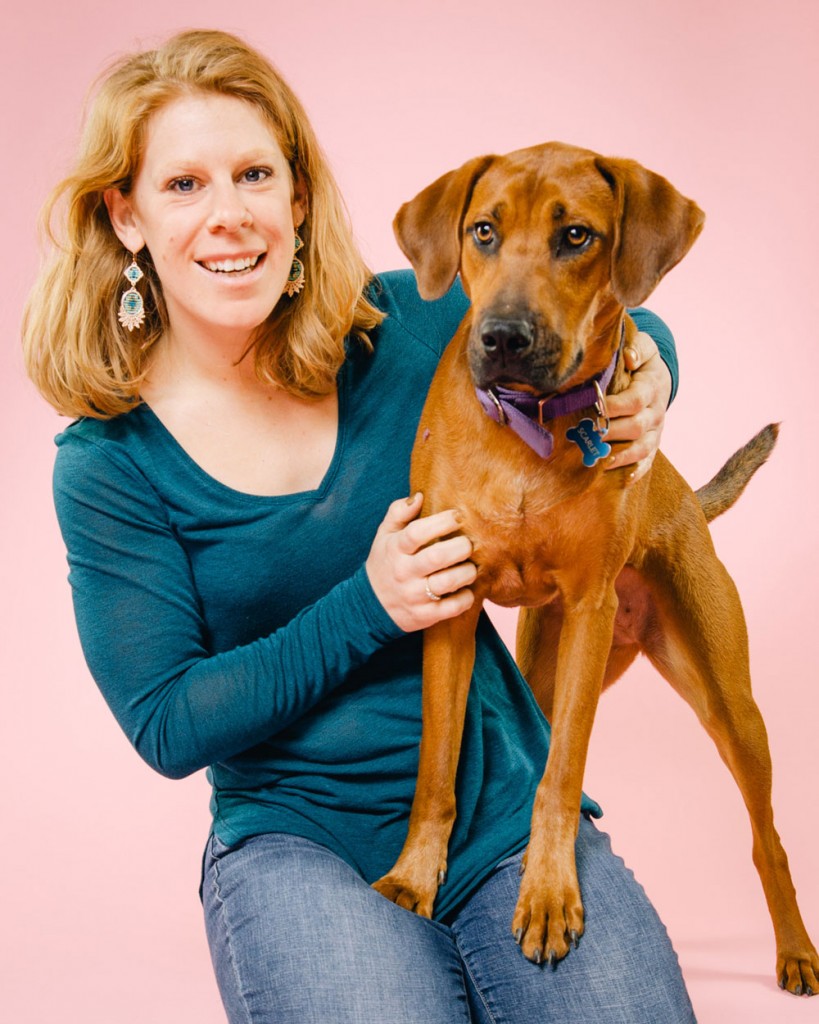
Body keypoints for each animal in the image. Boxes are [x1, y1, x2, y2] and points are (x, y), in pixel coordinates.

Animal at [374, 142, 814, 991]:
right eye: (482, 231)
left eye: (575, 236)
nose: (503, 337)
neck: (527, 430)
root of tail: (685, 501)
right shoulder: (448, 602)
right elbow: (436, 770)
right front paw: (413, 877)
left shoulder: (587, 610)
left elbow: (560, 775)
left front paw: (547, 894)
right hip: (543, 665)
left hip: (725, 701)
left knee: (766, 838)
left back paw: (794, 949)